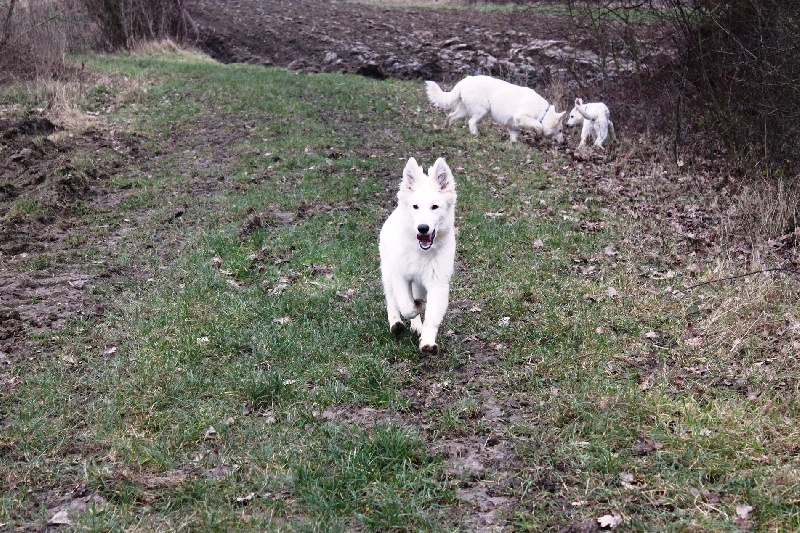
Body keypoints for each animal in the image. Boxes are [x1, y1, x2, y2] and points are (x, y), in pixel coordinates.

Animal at [380, 156, 456, 354]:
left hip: (419, 284)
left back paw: (417, 326)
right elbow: (406, 305)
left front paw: (427, 342)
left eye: (434, 207)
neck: (421, 252)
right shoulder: (400, 277)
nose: (423, 228)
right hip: (388, 273)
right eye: (415, 206)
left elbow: (431, 316)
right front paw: (415, 307)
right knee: (392, 300)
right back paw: (396, 324)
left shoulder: (438, 282)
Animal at [424, 75, 568, 144]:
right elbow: (537, 125)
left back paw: (447, 128)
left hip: (465, 110)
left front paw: (513, 144)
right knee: (471, 122)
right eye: (560, 130)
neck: (543, 113)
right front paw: (537, 136)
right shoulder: (521, 117)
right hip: (482, 110)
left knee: (451, 116)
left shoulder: (512, 126)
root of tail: (466, 80)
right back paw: (475, 135)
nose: (563, 143)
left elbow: (514, 136)